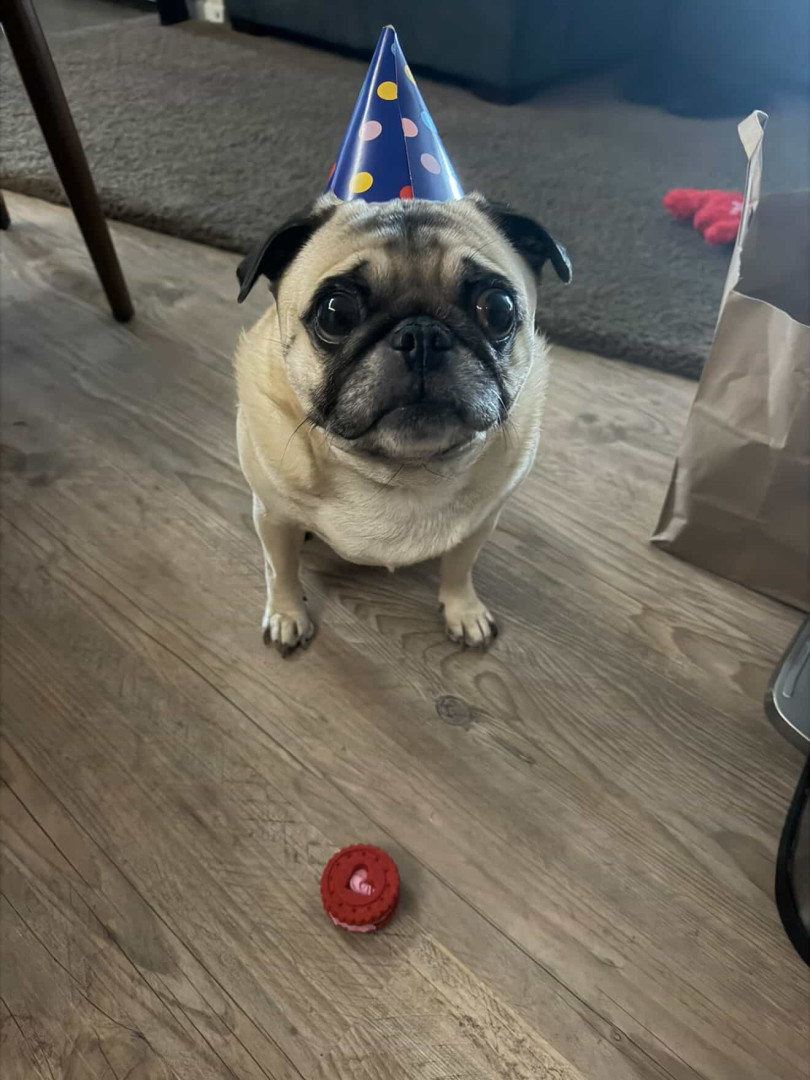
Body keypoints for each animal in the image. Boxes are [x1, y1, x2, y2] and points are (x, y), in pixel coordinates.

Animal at [234, 192, 570, 656]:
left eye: (498, 310)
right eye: (335, 313)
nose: (421, 335)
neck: (401, 472)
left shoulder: (480, 526)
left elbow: (459, 570)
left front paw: (463, 611)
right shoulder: (274, 520)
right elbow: (280, 571)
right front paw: (286, 614)